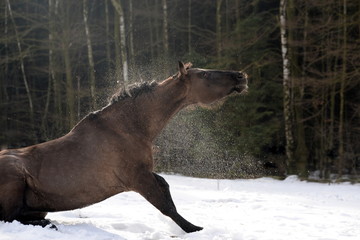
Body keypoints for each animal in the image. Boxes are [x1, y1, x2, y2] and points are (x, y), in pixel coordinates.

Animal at [0, 62, 248, 232]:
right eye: (204, 74)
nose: (241, 75)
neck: (128, 127)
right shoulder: (137, 178)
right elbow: (165, 206)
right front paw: (194, 229)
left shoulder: (146, 173)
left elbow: (166, 190)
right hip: (15, 182)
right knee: (10, 217)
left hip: (39, 204)